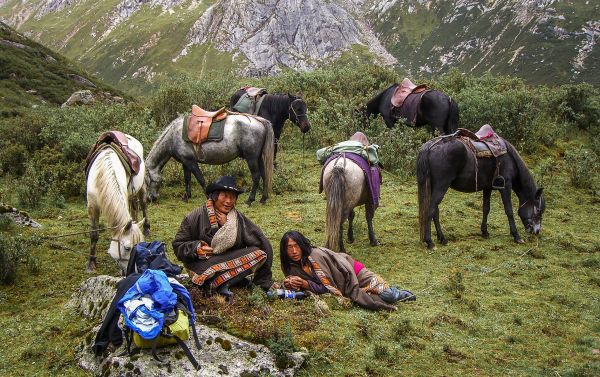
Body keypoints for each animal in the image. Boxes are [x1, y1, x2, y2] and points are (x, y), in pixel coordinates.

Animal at [85, 134, 149, 272]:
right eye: (127, 248)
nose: (132, 271)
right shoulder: (92, 206)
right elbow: (94, 234)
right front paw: (91, 263)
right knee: (134, 209)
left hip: (141, 187)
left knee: (143, 204)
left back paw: (147, 228)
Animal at [146, 114, 276, 204]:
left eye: (147, 181)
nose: (151, 198)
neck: (173, 136)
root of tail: (259, 121)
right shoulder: (185, 162)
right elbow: (187, 179)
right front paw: (186, 196)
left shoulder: (191, 162)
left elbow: (200, 179)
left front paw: (207, 195)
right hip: (258, 158)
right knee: (264, 174)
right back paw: (263, 198)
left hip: (251, 158)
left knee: (256, 176)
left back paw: (250, 200)